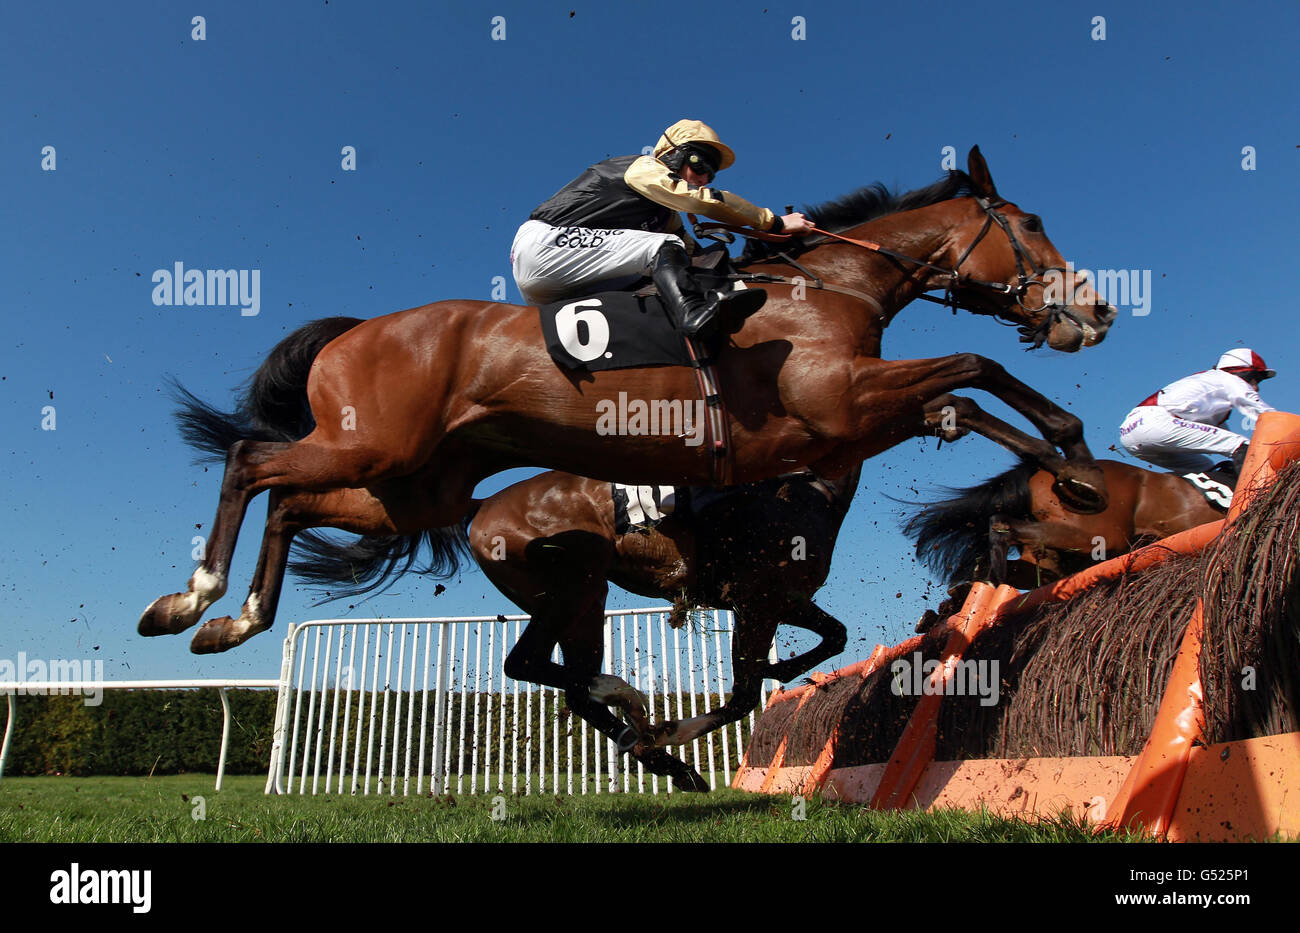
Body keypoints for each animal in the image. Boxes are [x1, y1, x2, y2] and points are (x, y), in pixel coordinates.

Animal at [144, 148, 1118, 717]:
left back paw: (234, 622)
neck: (829, 286)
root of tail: (352, 331)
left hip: (412, 485)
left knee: (291, 502)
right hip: (374, 449)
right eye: (1032, 224)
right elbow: (974, 366)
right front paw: (1078, 465)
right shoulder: (835, 404)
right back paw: (193, 597)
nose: (1098, 308)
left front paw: (1070, 470)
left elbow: (970, 394)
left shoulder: (841, 426)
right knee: (251, 460)